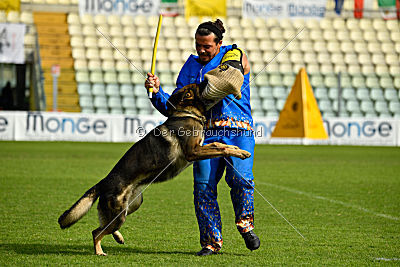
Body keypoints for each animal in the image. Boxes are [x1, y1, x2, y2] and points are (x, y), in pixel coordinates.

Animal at [57, 85, 250, 256]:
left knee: (104, 226)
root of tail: (104, 181)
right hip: (119, 213)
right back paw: (99, 252)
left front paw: (240, 150)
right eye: (201, 84)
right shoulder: (193, 152)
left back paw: (118, 238)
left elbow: (220, 145)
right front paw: (240, 152)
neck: (187, 112)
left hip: (132, 205)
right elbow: (221, 148)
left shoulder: (201, 147)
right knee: (96, 232)